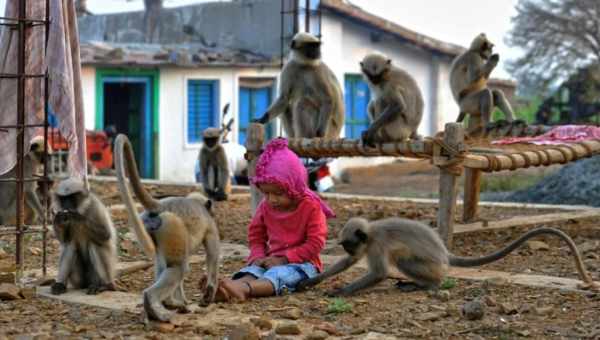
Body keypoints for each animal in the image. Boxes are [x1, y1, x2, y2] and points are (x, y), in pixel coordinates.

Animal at [113, 134, 219, 322]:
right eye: (212, 212)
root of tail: (160, 206)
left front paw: (185, 301)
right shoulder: (210, 225)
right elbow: (212, 255)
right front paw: (208, 294)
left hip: (154, 226)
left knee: (165, 264)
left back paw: (166, 305)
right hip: (172, 226)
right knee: (178, 267)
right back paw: (160, 302)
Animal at [298, 218, 596, 294]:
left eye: (347, 244)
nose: (347, 249)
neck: (370, 233)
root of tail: (445, 253)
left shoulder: (377, 245)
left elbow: (379, 273)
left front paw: (340, 291)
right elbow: (347, 265)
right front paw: (310, 282)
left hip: (431, 265)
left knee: (404, 260)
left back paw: (426, 285)